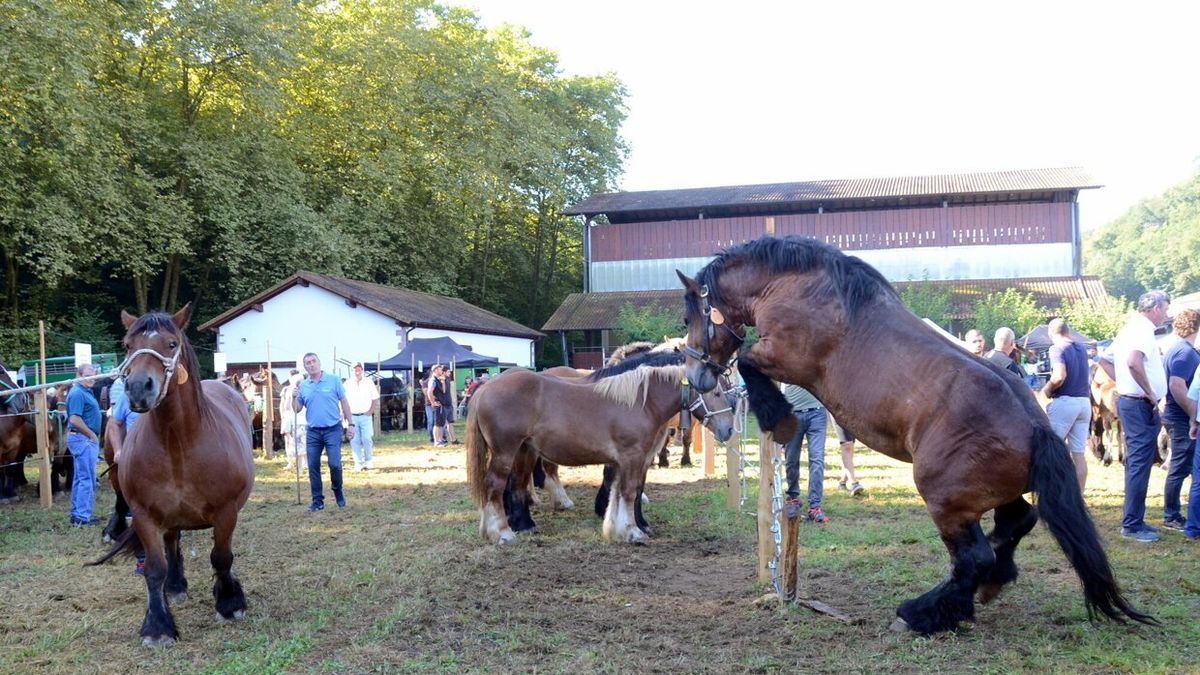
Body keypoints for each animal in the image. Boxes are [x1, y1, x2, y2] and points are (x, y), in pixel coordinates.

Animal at [90, 304, 254, 647]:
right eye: (127, 344)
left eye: (171, 343)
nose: (139, 387)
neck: (179, 443)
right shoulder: (144, 515)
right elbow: (154, 568)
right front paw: (158, 626)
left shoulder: (227, 512)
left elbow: (222, 557)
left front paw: (230, 603)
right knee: (171, 543)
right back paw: (176, 584)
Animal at [467, 349, 736, 545]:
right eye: (718, 392)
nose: (728, 429)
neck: (641, 402)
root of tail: (486, 388)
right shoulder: (632, 457)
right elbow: (629, 492)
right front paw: (633, 531)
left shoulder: (624, 461)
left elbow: (616, 493)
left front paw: (616, 530)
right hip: (505, 451)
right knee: (495, 485)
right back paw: (503, 533)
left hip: (522, 450)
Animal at [677, 235, 1154, 634]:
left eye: (687, 316)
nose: (696, 374)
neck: (796, 286)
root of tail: (1037, 427)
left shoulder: (784, 357)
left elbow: (748, 362)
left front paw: (781, 420)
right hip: (987, 495)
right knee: (1016, 523)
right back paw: (990, 584)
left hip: (943, 496)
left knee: (974, 556)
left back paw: (922, 613)